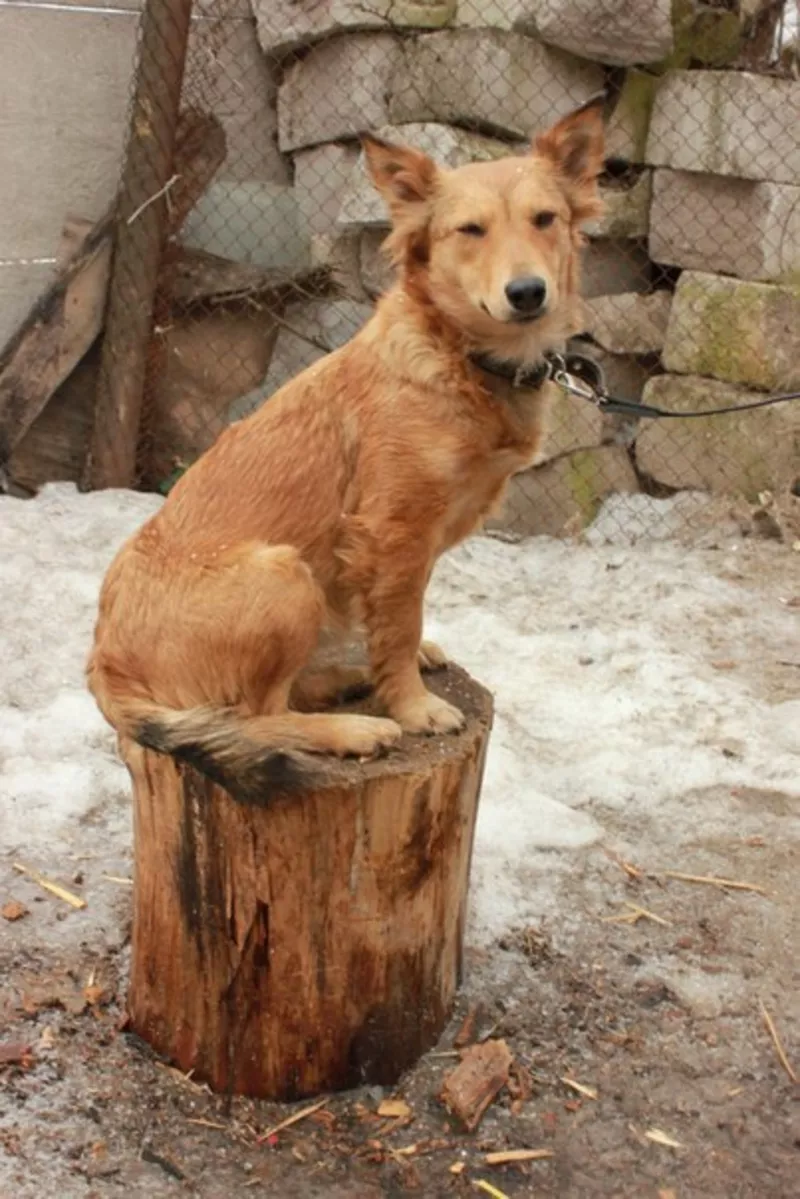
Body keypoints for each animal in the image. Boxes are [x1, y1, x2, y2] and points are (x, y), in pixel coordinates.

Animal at [84, 93, 604, 800]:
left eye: (545, 219)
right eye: (470, 231)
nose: (527, 293)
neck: (459, 356)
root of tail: (104, 663)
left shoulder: (409, 545)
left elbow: (399, 617)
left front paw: (400, 665)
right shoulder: (394, 530)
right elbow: (398, 620)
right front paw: (411, 705)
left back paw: (341, 681)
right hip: (284, 577)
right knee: (253, 718)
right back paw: (350, 728)